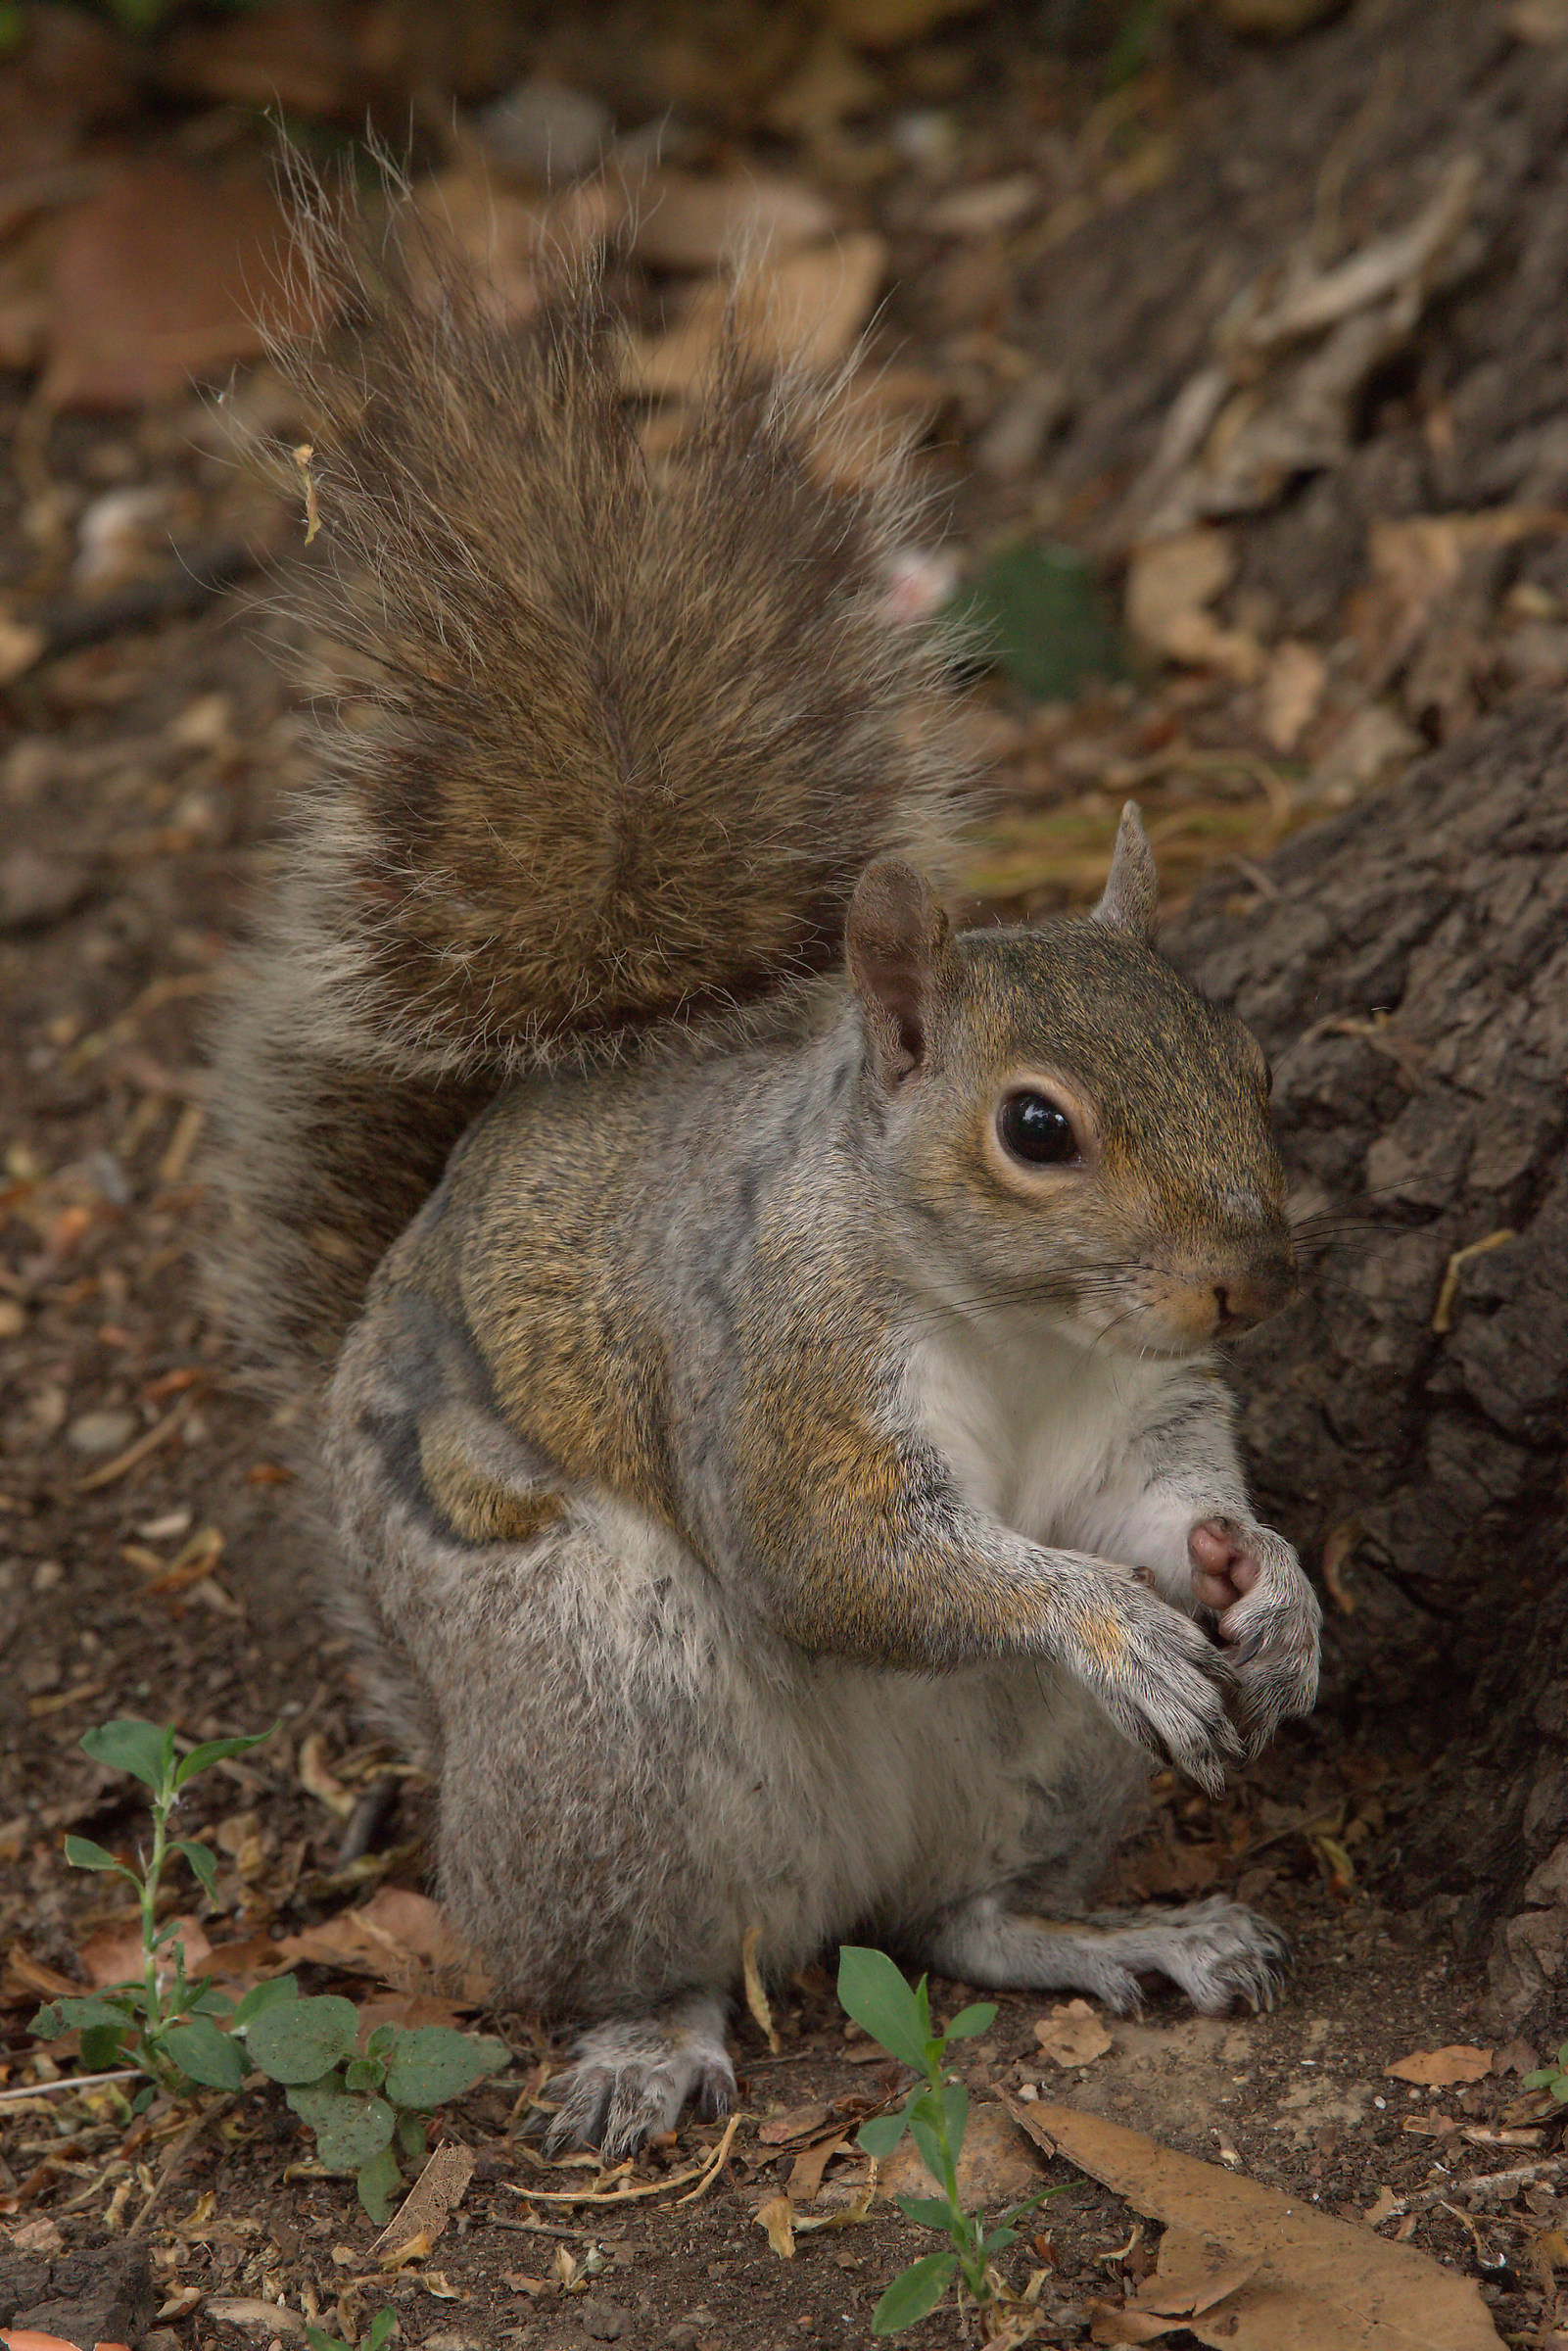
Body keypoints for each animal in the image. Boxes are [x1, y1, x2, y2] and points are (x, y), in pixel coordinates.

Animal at [206, 192, 1322, 2163]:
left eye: (1247, 1062)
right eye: (1038, 1130)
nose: (1249, 1284)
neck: (1019, 1326)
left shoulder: (1138, 1418)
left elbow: (1160, 1509)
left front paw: (1264, 1587)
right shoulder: (781, 1360)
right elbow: (836, 1559)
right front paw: (1109, 1615)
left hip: (1035, 1769)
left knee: (957, 1922)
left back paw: (1120, 1938)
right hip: (607, 1722)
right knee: (615, 1948)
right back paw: (645, 2041)